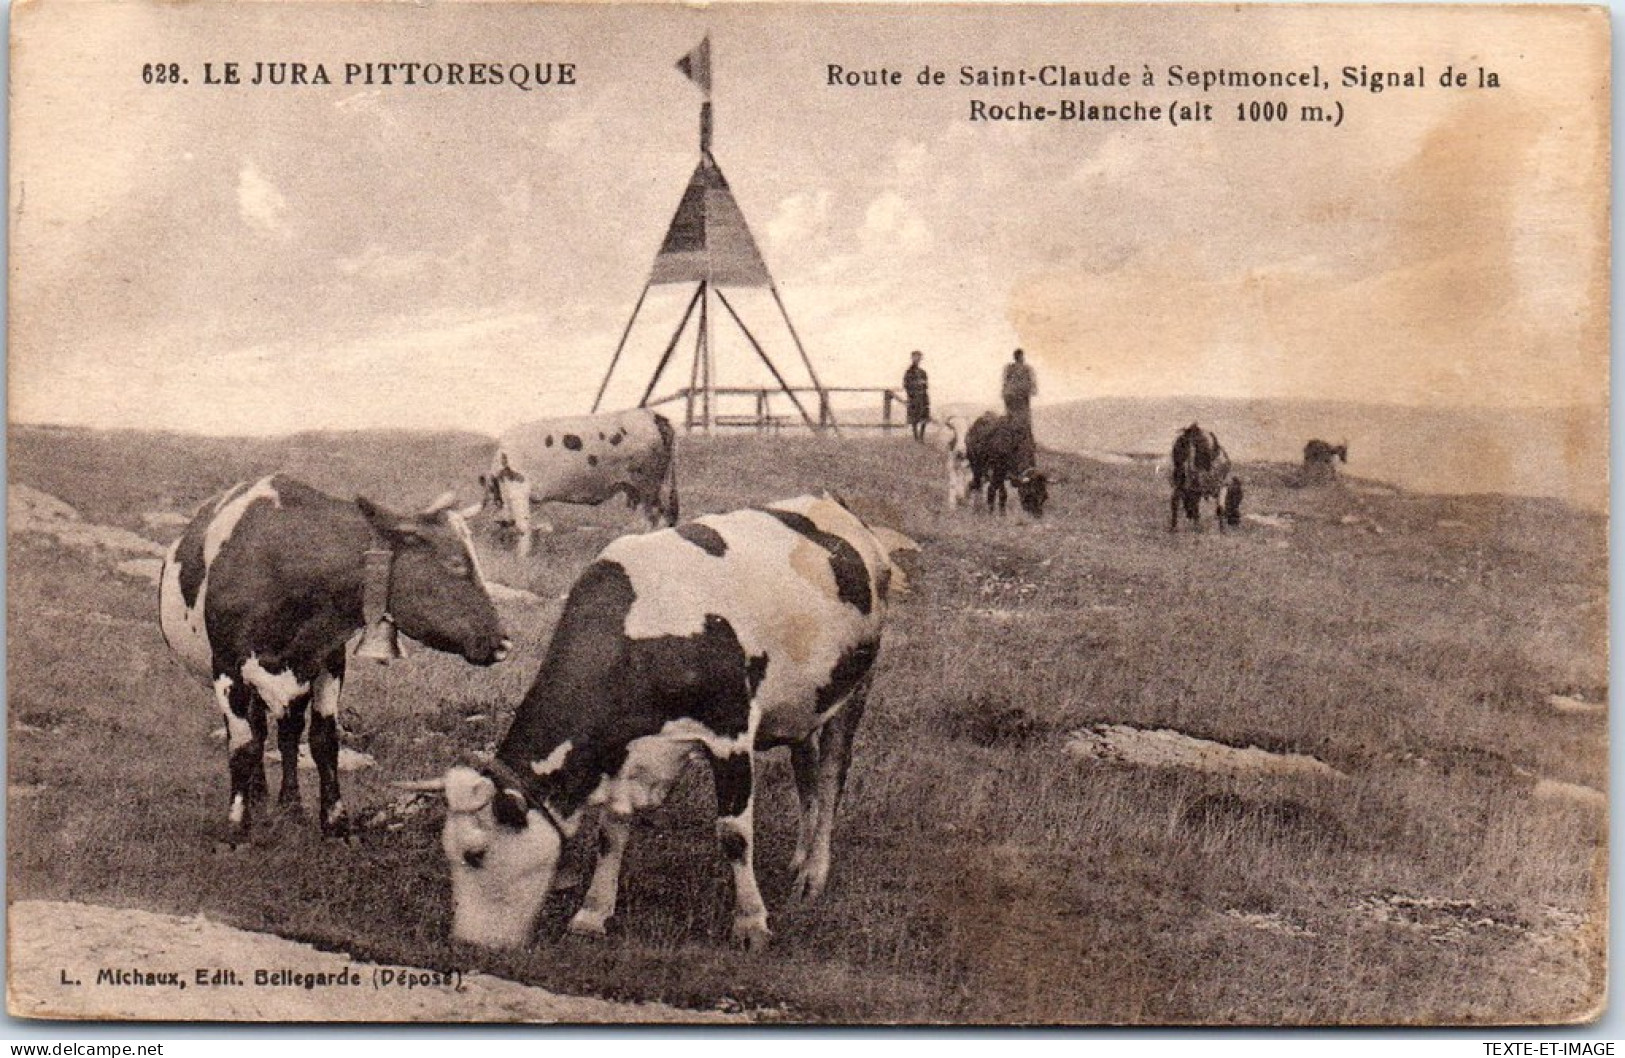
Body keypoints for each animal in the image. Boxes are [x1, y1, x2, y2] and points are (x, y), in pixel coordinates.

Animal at [159, 474, 510, 851]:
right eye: (455, 564)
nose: (503, 642)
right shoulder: (226, 669)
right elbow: (241, 747)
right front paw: (237, 830)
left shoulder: (329, 662)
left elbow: (324, 743)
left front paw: (336, 825)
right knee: (258, 732)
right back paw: (259, 798)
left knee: (286, 733)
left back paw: (289, 805)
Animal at [399, 497, 923, 949]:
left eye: (475, 854)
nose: (468, 944)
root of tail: (836, 508)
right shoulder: (624, 750)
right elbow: (612, 828)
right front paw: (592, 913)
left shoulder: (730, 731)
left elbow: (734, 834)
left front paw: (751, 923)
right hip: (804, 703)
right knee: (806, 776)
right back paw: (798, 860)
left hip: (856, 688)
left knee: (831, 779)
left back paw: (814, 873)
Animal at [484, 409, 682, 559]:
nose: (496, 545)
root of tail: (653, 415)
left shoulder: (517, 484)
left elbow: (523, 525)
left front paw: (521, 557)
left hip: (648, 484)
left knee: (655, 515)